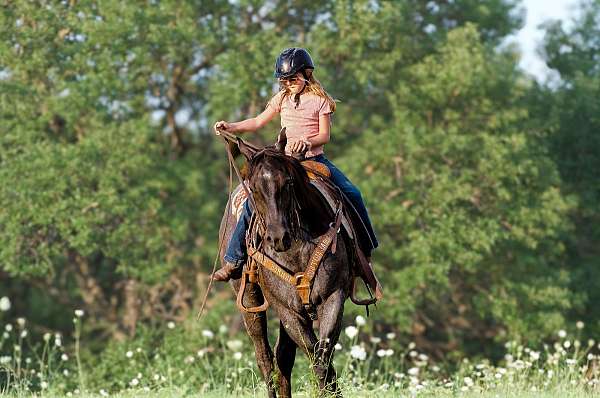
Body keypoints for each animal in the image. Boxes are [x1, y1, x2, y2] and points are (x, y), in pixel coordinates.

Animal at [220, 130, 356, 394]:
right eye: (254, 188)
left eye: (289, 182)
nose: (277, 237)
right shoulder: (287, 310)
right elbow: (315, 358)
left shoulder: (333, 298)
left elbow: (322, 358)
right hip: (250, 300)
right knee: (265, 359)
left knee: (283, 357)